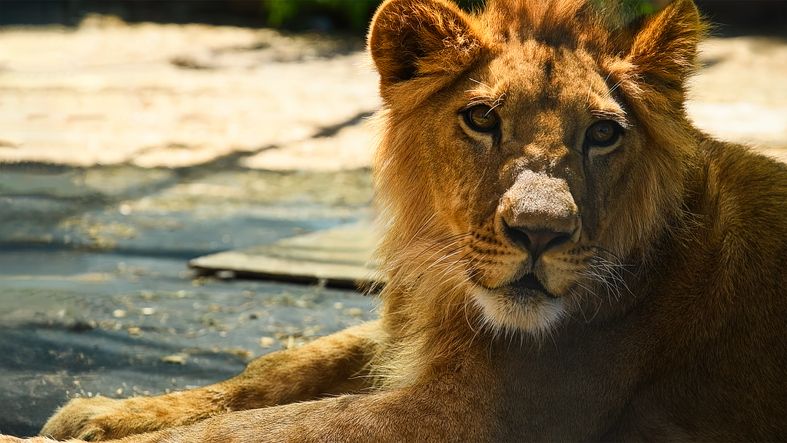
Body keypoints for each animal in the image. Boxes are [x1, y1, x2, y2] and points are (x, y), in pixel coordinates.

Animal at [4, 0, 785, 441]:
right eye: (481, 118)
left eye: (603, 134)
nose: (539, 233)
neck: (450, 289)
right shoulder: (409, 326)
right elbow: (275, 371)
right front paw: (101, 412)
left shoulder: (485, 417)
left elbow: (274, 427)